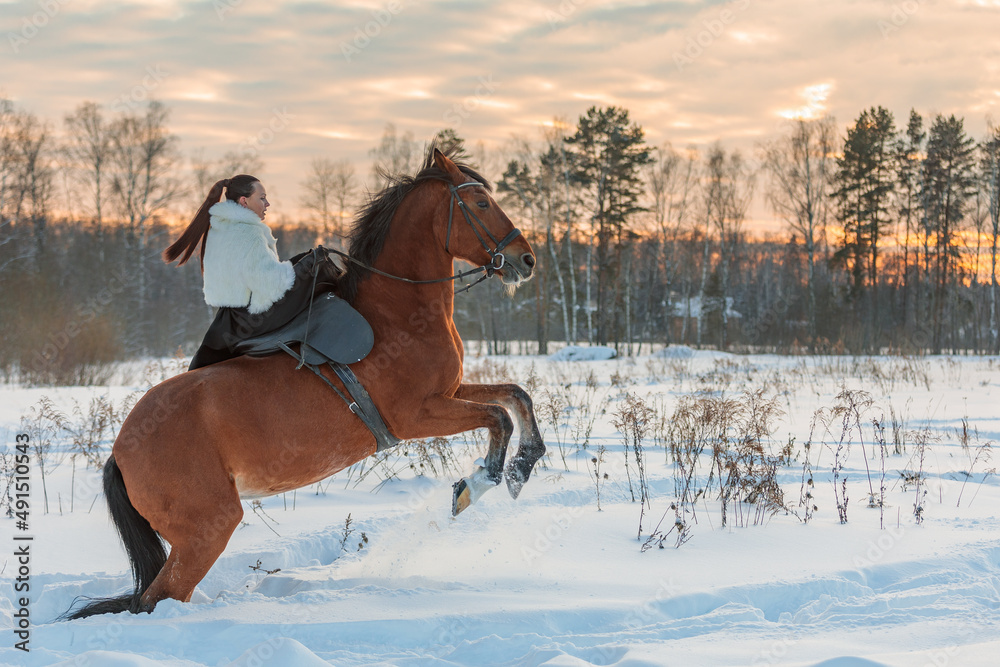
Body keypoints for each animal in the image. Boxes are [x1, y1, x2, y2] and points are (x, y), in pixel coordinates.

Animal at [68, 146, 548, 620]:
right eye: (481, 203)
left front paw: (523, 466)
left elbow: (516, 397)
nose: (526, 260)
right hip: (206, 531)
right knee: (155, 600)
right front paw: (476, 486)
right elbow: (499, 418)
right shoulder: (417, 415)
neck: (399, 316)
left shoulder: (447, 394)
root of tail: (120, 450)